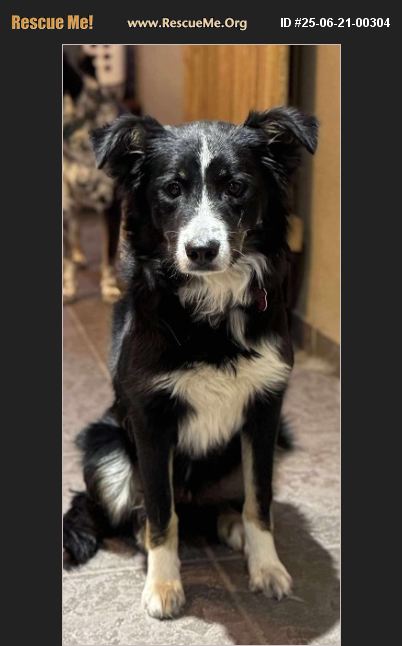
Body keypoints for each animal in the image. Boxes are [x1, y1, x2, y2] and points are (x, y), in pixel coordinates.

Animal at [63, 107, 318, 619]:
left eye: (236, 186)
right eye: (171, 189)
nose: (201, 251)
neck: (211, 308)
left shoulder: (265, 410)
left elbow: (260, 502)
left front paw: (267, 567)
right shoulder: (150, 419)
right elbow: (163, 513)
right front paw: (163, 586)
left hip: (271, 444)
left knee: (221, 505)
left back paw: (230, 526)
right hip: (104, 448)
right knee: (137, 512)